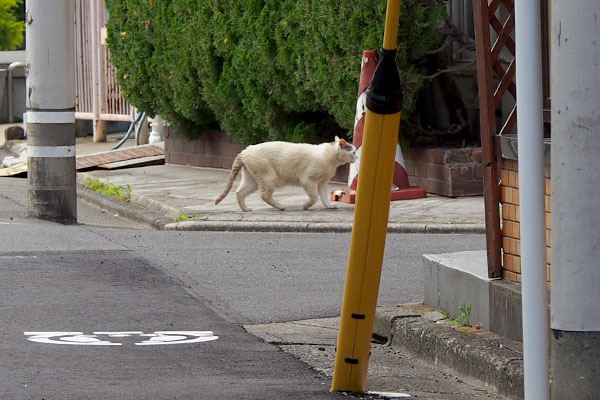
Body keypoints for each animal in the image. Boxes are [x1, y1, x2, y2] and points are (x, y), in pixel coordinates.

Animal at [214, 137, 356, 212]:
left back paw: (246, 209)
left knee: (239, 193)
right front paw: (306, 206)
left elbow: (324, 197)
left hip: (252, 181)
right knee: (264, 195)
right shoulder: (307, 180)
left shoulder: (322, 182)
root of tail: (245, 151)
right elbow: (314, 197)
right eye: (353, 152)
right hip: (269, 177)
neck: (332, 158)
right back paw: (281, 206)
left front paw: (329, 206)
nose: (357, 156)